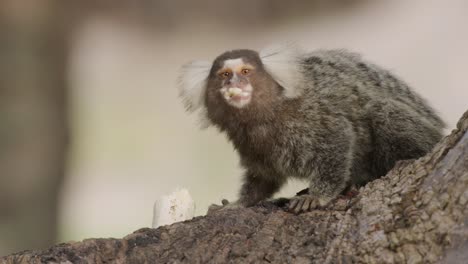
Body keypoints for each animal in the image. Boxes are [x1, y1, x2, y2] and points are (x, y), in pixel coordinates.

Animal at [177, 43, 444, 212]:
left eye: (245, 71)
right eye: (224, 74)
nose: (234, 83)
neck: (263, 119)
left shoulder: (312, 117)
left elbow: (338, 140)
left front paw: (318, 196)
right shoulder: (250, 145)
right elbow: (263, 178)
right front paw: (239, 203)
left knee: (382, 113)